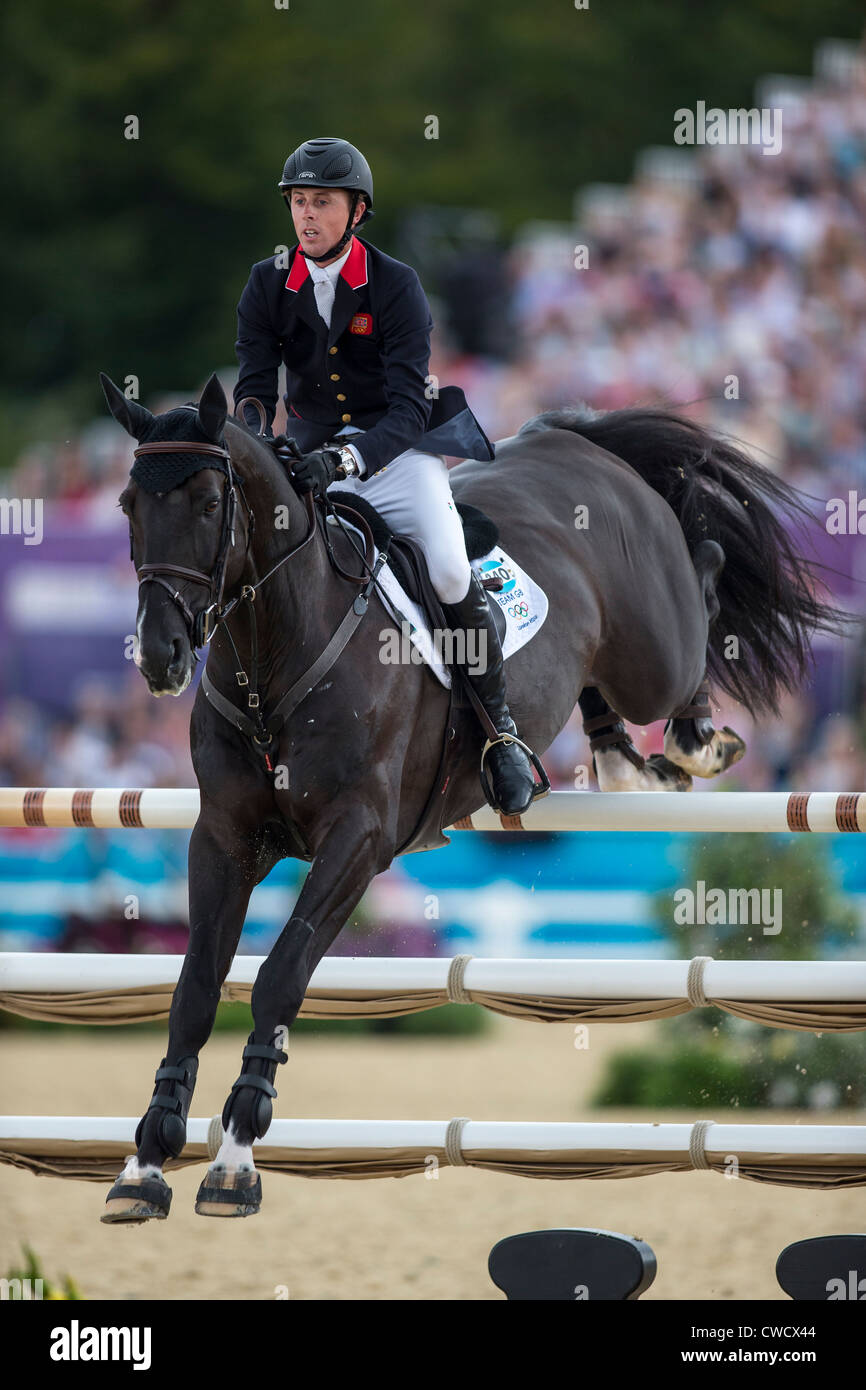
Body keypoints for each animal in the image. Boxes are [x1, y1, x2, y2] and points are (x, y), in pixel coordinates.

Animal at [97, 375, 839, 1223]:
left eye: (211, 501)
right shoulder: (224, 838)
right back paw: (618, 765)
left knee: (703, 584)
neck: (273, 653)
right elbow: (194, 986)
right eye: (129, 503)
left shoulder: (358, 839)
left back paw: (694, 739)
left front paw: (236, 1155)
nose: (161, 657)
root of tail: (570, 438)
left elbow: (281, 974)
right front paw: (146, 1161)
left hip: (654, 651)